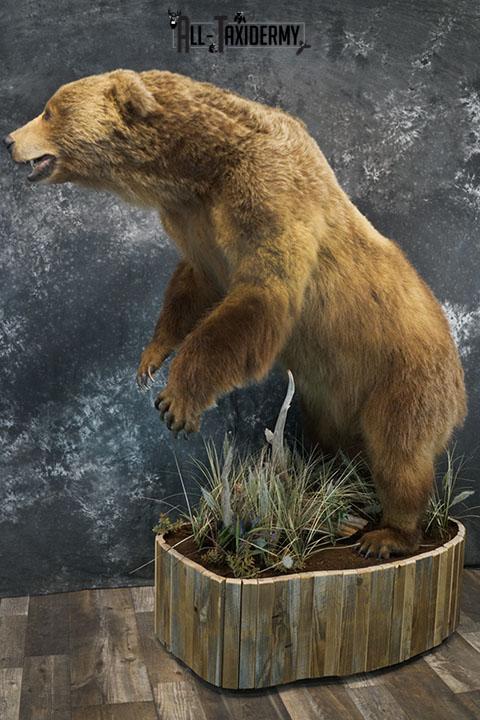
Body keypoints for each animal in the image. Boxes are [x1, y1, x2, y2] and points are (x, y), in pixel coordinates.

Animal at [4, 68, 467, 559]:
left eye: (49, 110)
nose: (9, 140)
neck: (201, 167)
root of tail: (459, 390)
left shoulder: (269, 194)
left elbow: (259, 298)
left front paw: (176, 402)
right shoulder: (194, 224)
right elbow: (195, 284)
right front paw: (151, 358)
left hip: (403, 377)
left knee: (399, 454)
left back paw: (386, 535)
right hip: (333, 394)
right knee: (333, 441)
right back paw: (341, 503)